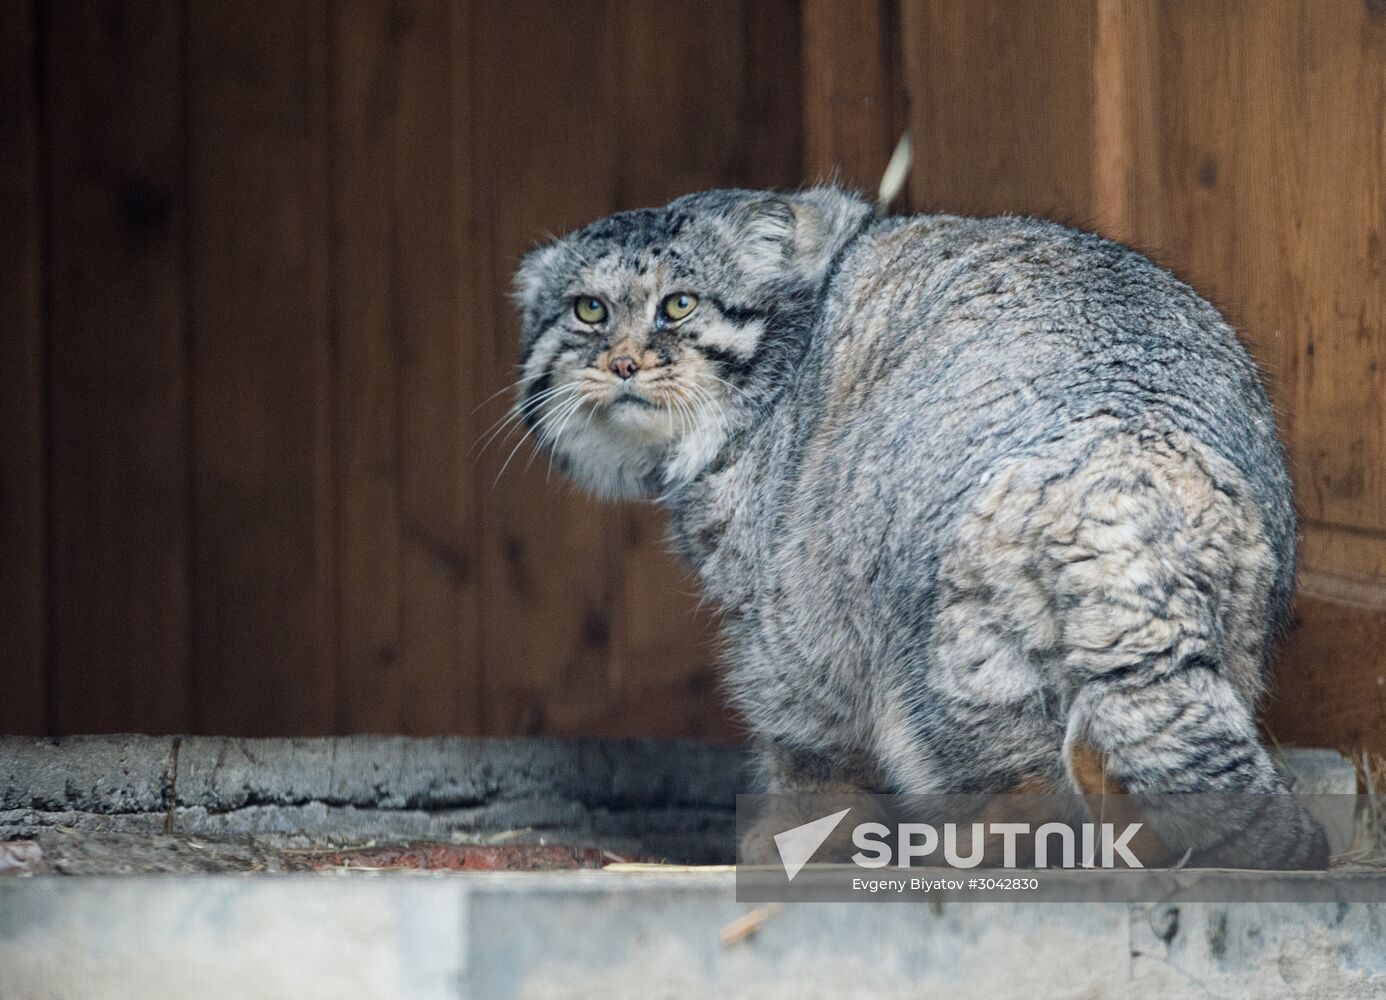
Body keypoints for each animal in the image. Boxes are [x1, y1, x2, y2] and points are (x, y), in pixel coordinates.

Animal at [512, 186, 1330, 864]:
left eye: (678, 306)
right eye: (589, 311)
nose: (623, 363)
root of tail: (1122, 472)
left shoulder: (782, 624)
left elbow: (804, 744)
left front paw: (791, 837)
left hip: (939, 661)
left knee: (1025, 800)